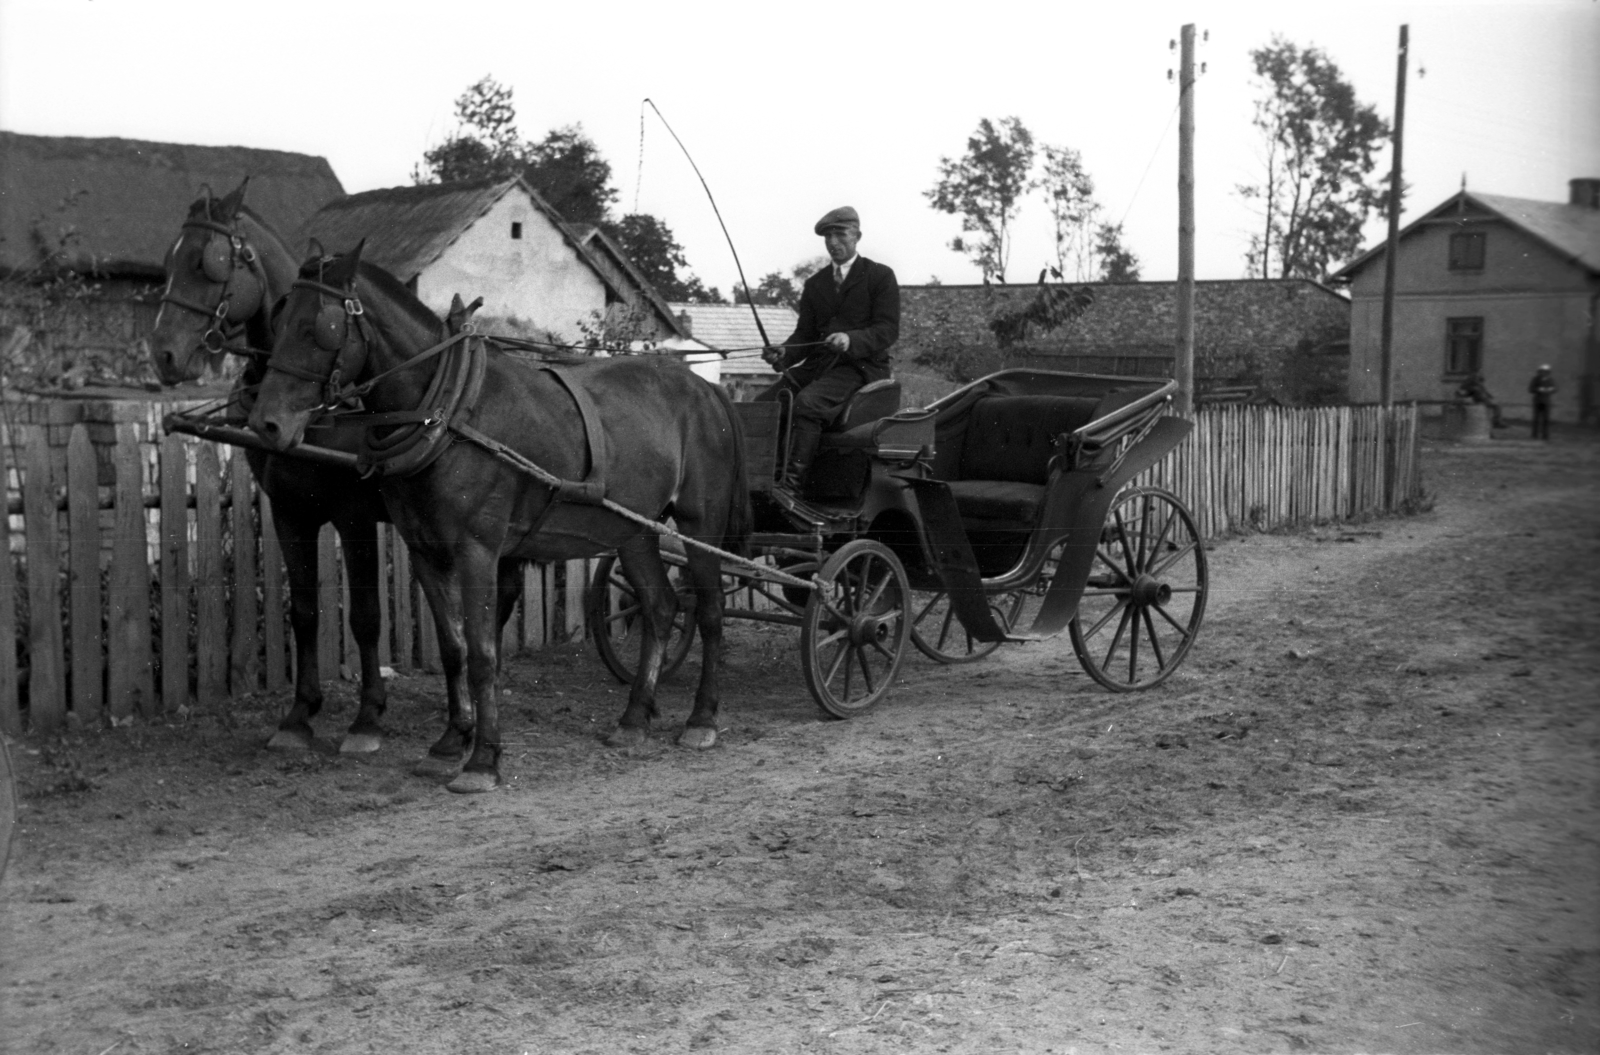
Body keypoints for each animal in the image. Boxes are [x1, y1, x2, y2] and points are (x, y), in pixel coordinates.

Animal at [145, 183, 398, 758]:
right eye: (168, 260)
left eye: (208, 261)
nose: (163, 354)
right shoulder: (289, 513)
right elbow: (303, 610)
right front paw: (299, 715)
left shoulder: (355, 517)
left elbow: (366, 615)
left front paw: (368, 719)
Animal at [248, 244, 748, 794]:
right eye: (278, 317)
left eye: (320, 327)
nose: (266, 423)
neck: (447, 412)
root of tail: (705, 389)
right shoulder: (424, 550)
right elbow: (454, 649)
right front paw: (450, 742)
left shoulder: (477, 551)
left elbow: (484, 653)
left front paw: (483, 758)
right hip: (634, 528)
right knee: (659, 607)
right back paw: (634, 718)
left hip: (700, 525)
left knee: (709, 614)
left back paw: (701, 719)